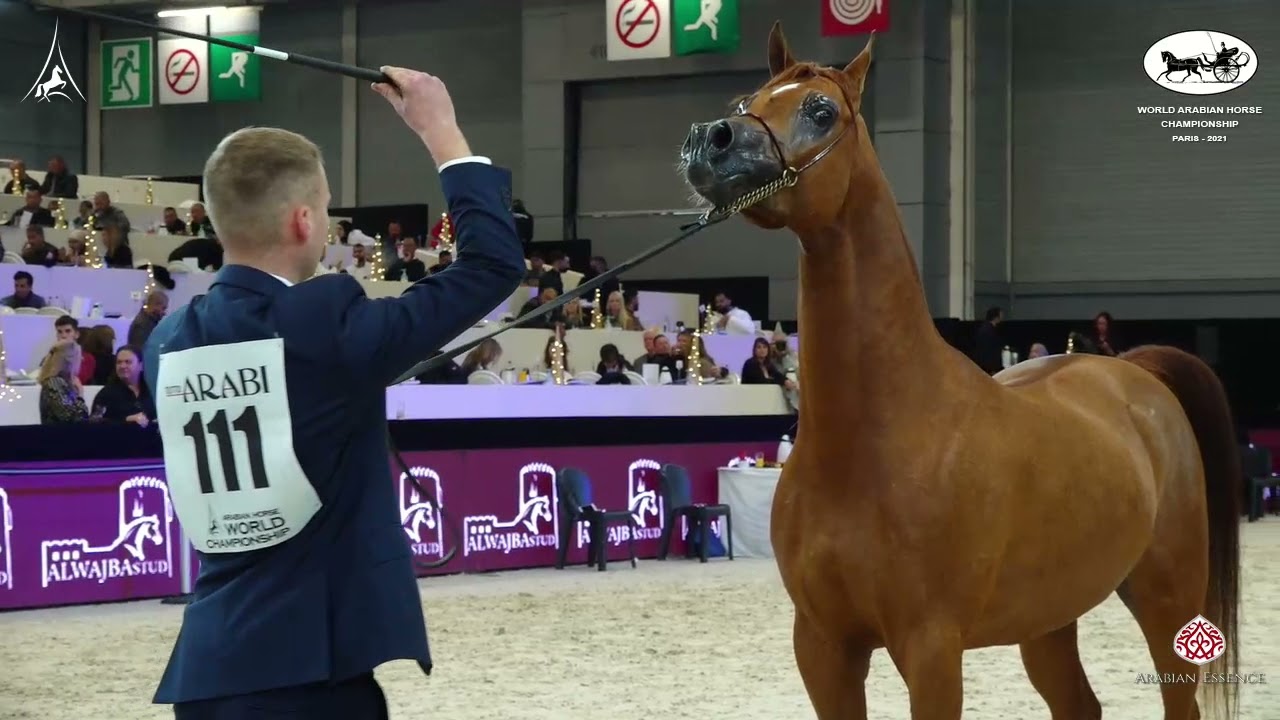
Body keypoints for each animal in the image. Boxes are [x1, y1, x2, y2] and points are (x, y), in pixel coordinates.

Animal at [681, 22, 1240, 720]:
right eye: (748, 98)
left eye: (821, 111)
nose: (712, 140)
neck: (877, 439)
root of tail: (1135, 374)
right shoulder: (822, 645)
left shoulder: (931, 648)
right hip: (1047, 615)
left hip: (1167, 599)